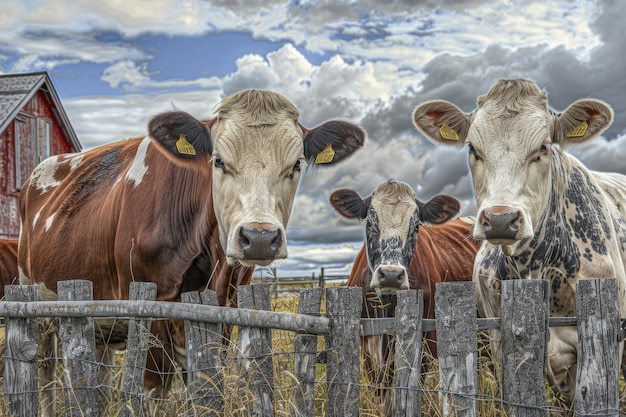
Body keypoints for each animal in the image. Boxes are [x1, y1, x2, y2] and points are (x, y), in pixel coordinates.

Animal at [19, 89, 364, 412]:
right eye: (218, 160)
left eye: (296, 164)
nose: (260, 236)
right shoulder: (151, 304)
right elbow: (153, 389)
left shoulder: (228, 304)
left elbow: (207, 381)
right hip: (39, 308)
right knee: (46, 374)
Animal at [326, 179, 478, 410]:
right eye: (369, 224)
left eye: (416, 227)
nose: (390, 274)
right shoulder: (368, 347)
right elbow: (381, 390)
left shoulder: (422, 343)